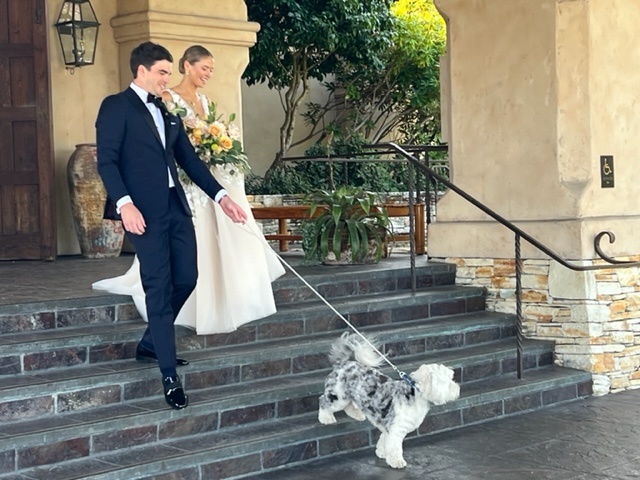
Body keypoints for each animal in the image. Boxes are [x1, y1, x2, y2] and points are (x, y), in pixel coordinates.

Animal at [318, 332, 460, 469]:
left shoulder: (388, 428)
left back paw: (357, 415)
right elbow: (394, 447)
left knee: (349, 406)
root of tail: (342, 364)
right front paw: (396, 462)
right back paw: (326, 418)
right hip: (338, 396)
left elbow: (384, 440)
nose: (458, 389)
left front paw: (381, 452)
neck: (415, 395)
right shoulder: (396, 429)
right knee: (323, 401)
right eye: (449, 381)